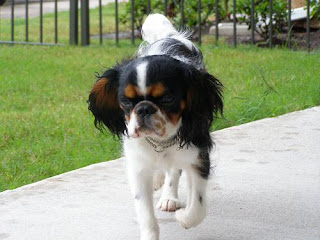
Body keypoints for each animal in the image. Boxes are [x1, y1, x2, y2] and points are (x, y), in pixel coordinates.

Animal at [87, 14, 222, 240]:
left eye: (167, 99)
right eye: (125, 101)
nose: (143, 109)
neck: (160, 142)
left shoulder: (198, 154)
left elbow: (197, 208)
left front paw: (183, 218)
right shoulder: (138, 168)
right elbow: (146, 213)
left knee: (174, 171)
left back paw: (169, 198)